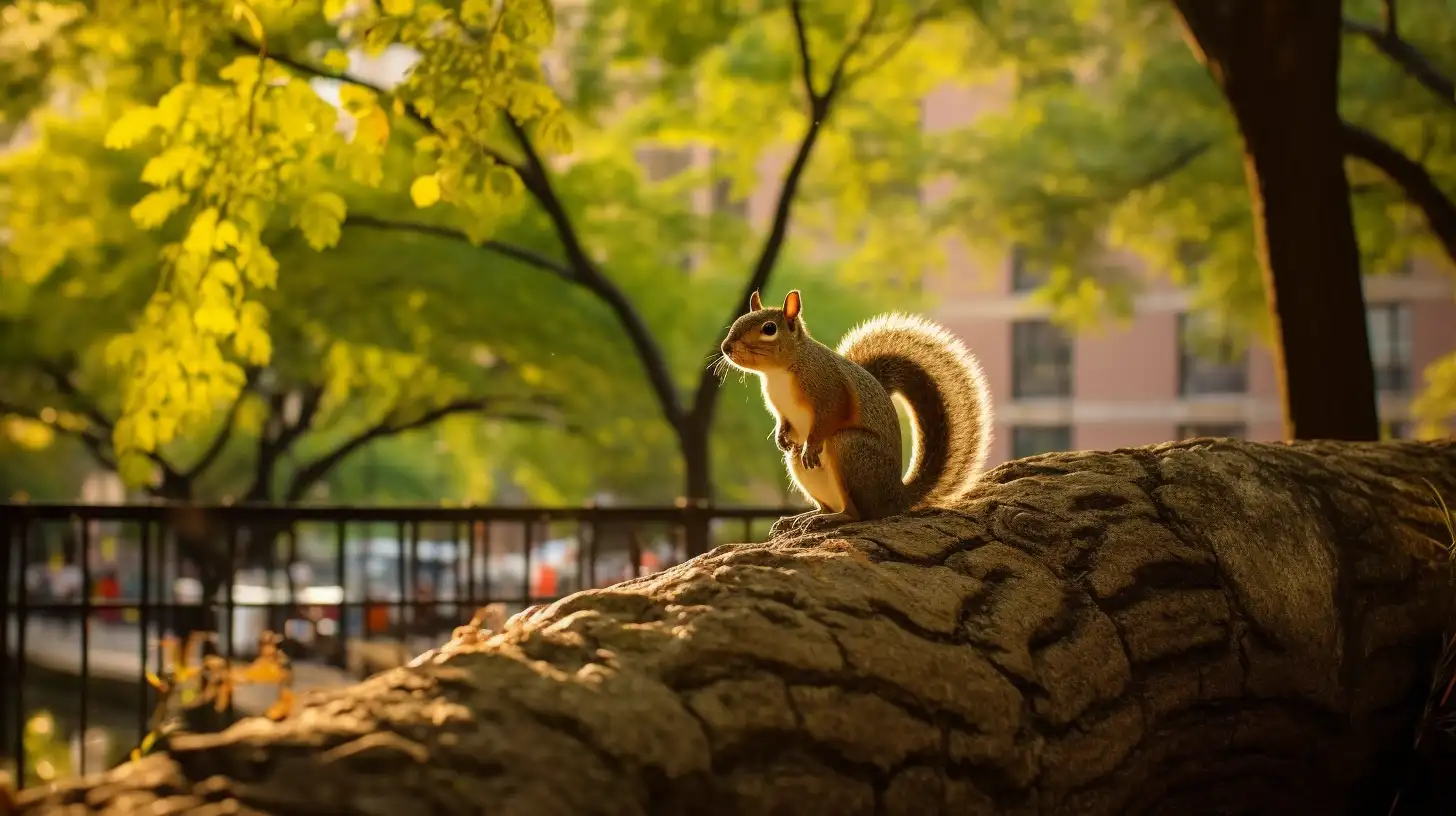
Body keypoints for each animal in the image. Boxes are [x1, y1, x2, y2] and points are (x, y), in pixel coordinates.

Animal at [722, 289, 995, 539]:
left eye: (769, 328)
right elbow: (783, 421)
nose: (726, 348)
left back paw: (830, 518)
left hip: (849, 448)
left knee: (858, 514)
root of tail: (897, 498)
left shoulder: (830, 391)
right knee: (825, 503)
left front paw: (811, 445)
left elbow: (828, 417)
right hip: (802, 468)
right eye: (739, 320)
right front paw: (781, 437)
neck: (779, 372)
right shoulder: (780, 409)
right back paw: (801, 518)